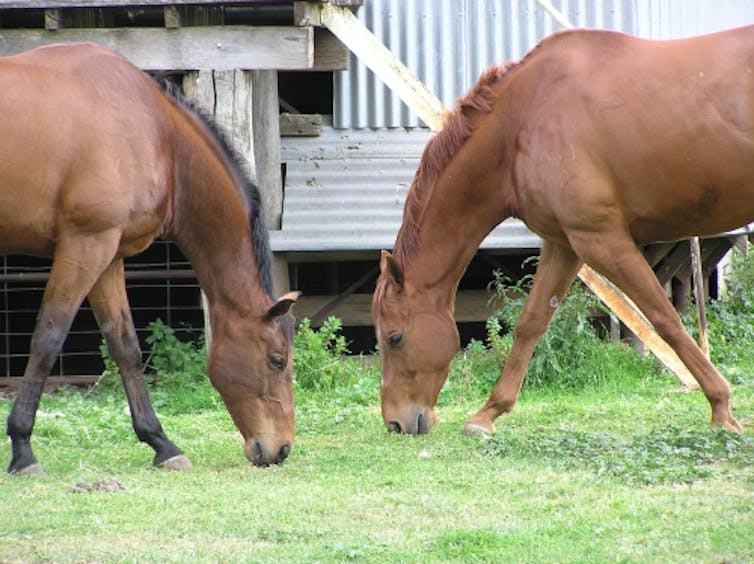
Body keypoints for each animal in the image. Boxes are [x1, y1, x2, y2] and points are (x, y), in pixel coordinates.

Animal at [0, 45, 300, 476]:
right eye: (277, 360)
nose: (282, 449)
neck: (158, 136)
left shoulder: (107, 255)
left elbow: (124, 344)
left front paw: (160, 442)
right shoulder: (85, 244)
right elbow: (48, 338)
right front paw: (23, 448)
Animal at [372, 25, 752, 436]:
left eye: (395, 337)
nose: (395, 423)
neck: (522, 121)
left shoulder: (601, 241)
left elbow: (664, 318)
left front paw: (720, 406)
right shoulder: (563, 244)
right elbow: (531, 322)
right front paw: (488, 413)